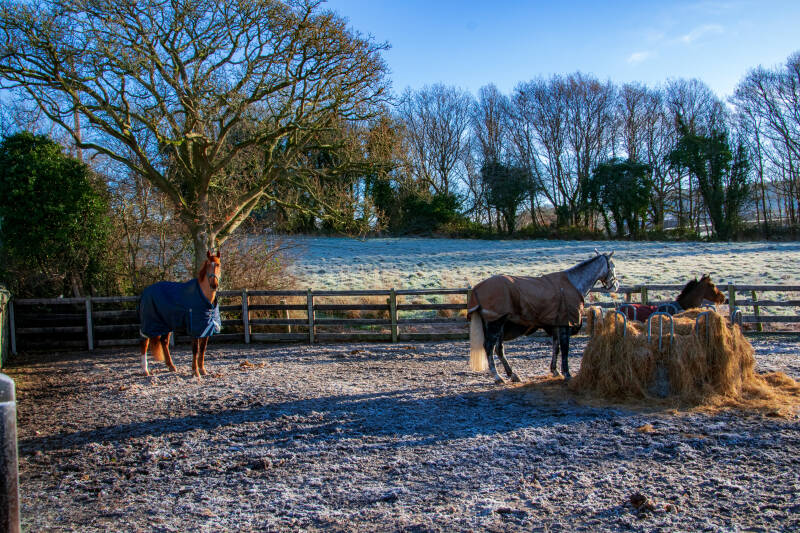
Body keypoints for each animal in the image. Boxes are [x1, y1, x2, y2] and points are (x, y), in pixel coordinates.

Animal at [468, 250, 619, 383]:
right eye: (612, 266)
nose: (616, 286)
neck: (573, 283)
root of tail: (477, 288)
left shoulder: (556, 324)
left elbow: (556, 347)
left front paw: (555, 370)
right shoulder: (565, 324)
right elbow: (565, 349)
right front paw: (566, 373)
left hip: (500, 324)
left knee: (499, 349)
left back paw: (512, 374)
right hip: (496, 323)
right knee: (489, 347)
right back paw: (497, 376)